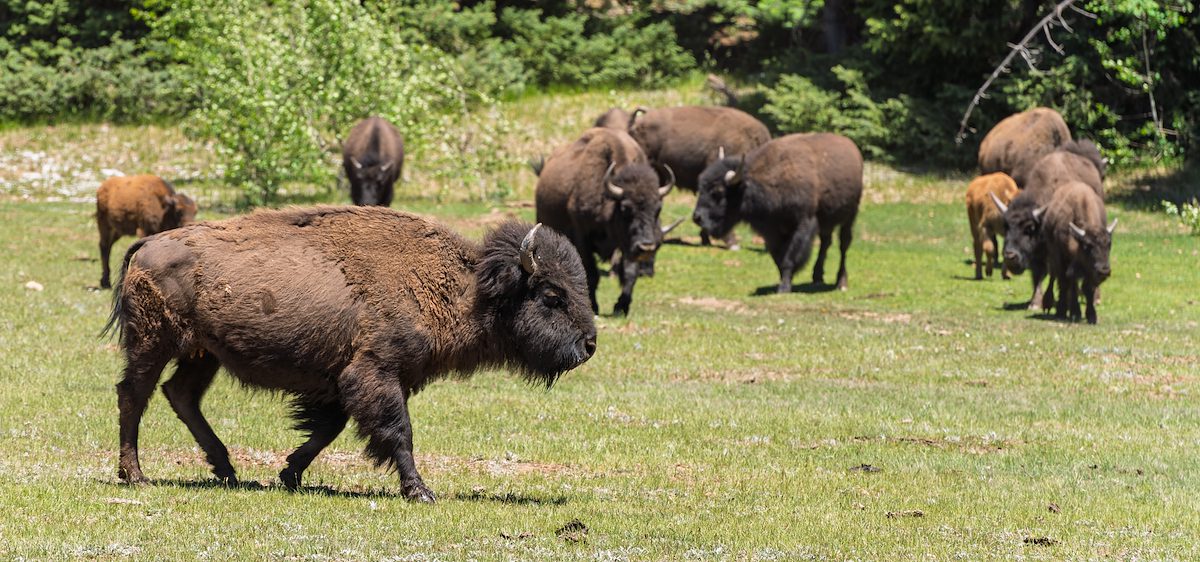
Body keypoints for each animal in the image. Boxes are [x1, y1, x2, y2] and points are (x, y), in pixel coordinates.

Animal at [105, 206, 596, 503]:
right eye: (552, 295)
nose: (589, 344)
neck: (467, 289)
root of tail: (147, 244)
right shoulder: (376, 373)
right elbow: (397, 432)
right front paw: (420, 492)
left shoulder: (342, 381)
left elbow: (329, 428)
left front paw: (290, 473)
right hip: (154, 343)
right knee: (134, 395)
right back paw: (136, 475)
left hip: (203, 353)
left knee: (180, 395)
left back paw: (225, 469)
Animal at [535, 127, 677, 316]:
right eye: (625, 208)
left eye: (658, 208)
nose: (646, 247)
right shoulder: (582, 237)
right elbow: (590, 272)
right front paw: (594, 307)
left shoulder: (627, 245)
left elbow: (629, 272)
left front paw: (621, 306)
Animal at [693, 133, 863, 293]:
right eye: (701, 187)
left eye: (718, 192)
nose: (697, 217)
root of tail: (853, 149)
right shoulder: (771, 232)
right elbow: (778, 259)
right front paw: (782, 283)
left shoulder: (803, 224)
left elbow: (790, 257)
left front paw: (783, 288)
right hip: (827, 222)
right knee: (825, 243)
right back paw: (817, 277)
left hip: (850, 217)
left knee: (843, 245)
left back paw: (841, 282)